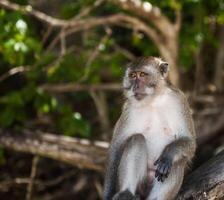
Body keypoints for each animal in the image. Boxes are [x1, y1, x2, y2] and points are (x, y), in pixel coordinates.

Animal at [103, 56, 196, 200]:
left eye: (142, 75)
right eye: (132, 76)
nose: (135, 86)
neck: (154, 100)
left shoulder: (179, 100)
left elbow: (189, 142)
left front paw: (169, 154)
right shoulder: (129, 109)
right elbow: (116, 147)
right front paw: (108, 194)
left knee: (178, 161)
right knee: (137, 139)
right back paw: (126, 193)